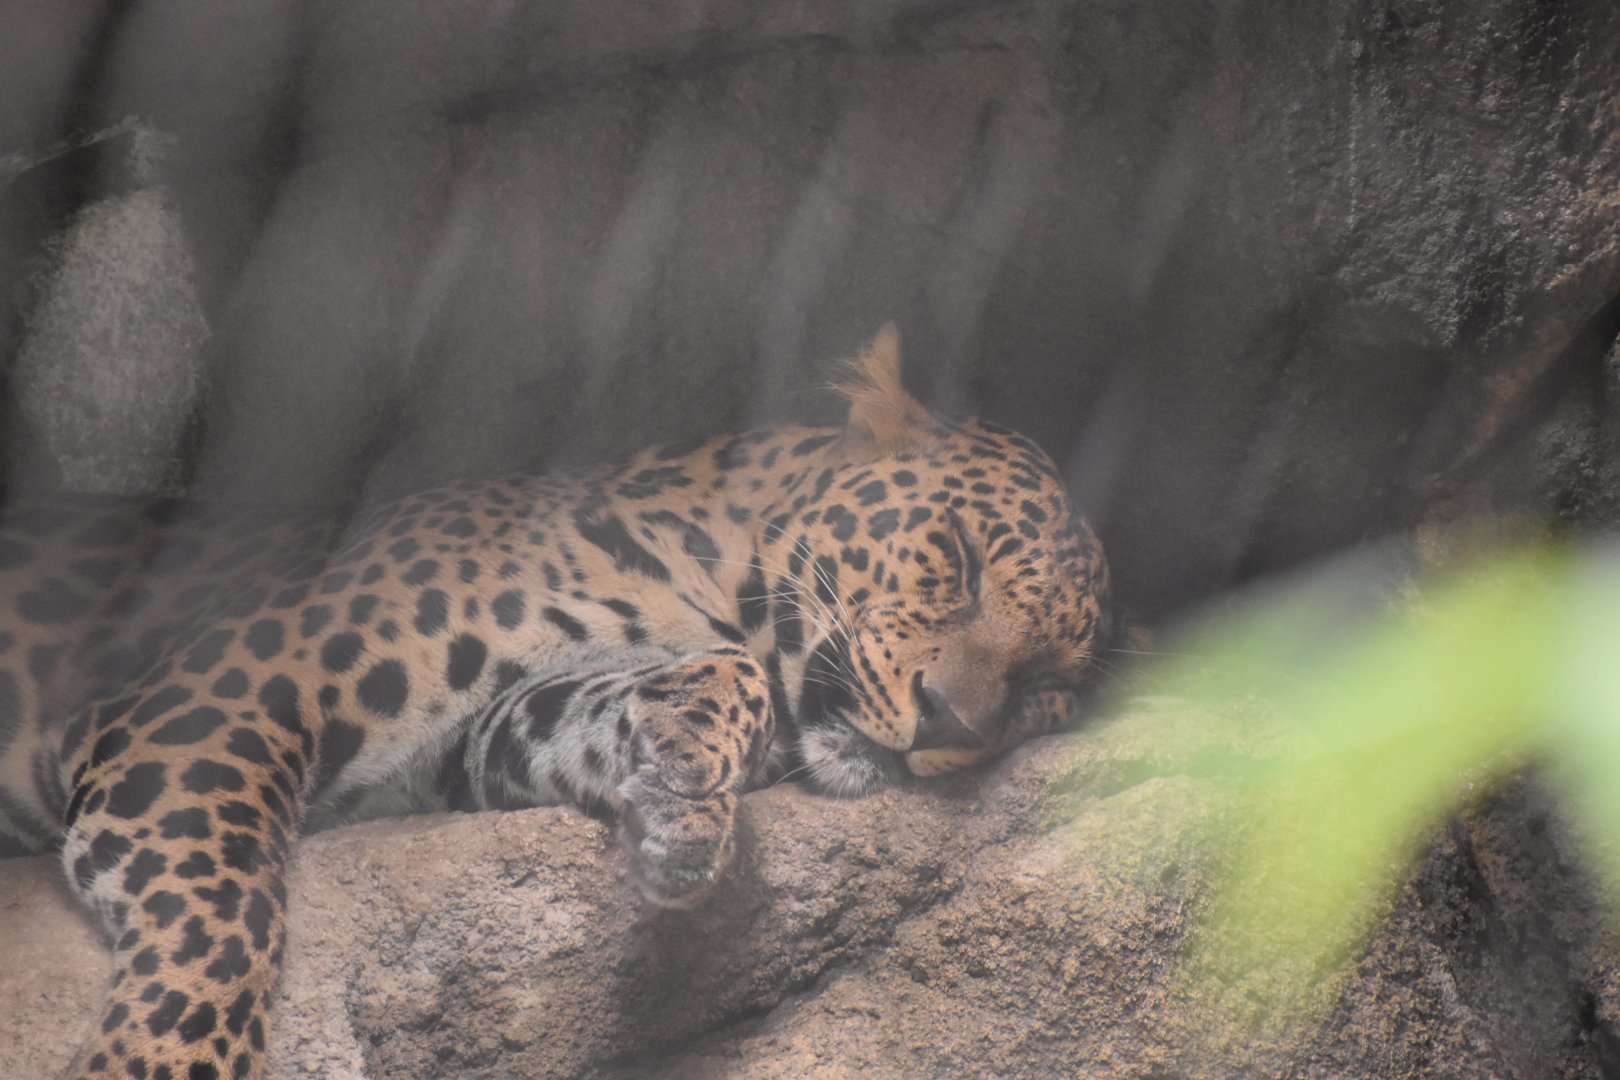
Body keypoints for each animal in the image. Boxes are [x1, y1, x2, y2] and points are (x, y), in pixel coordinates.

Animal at [0, 327, 1111, 1080]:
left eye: (1044, 687)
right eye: (959, 558)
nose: (953, 722)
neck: (703, 580)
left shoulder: (477, 741)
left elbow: (651, 697)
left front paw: (680, 803)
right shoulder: (219, 700)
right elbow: (220, 915)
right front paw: (151, 1061)